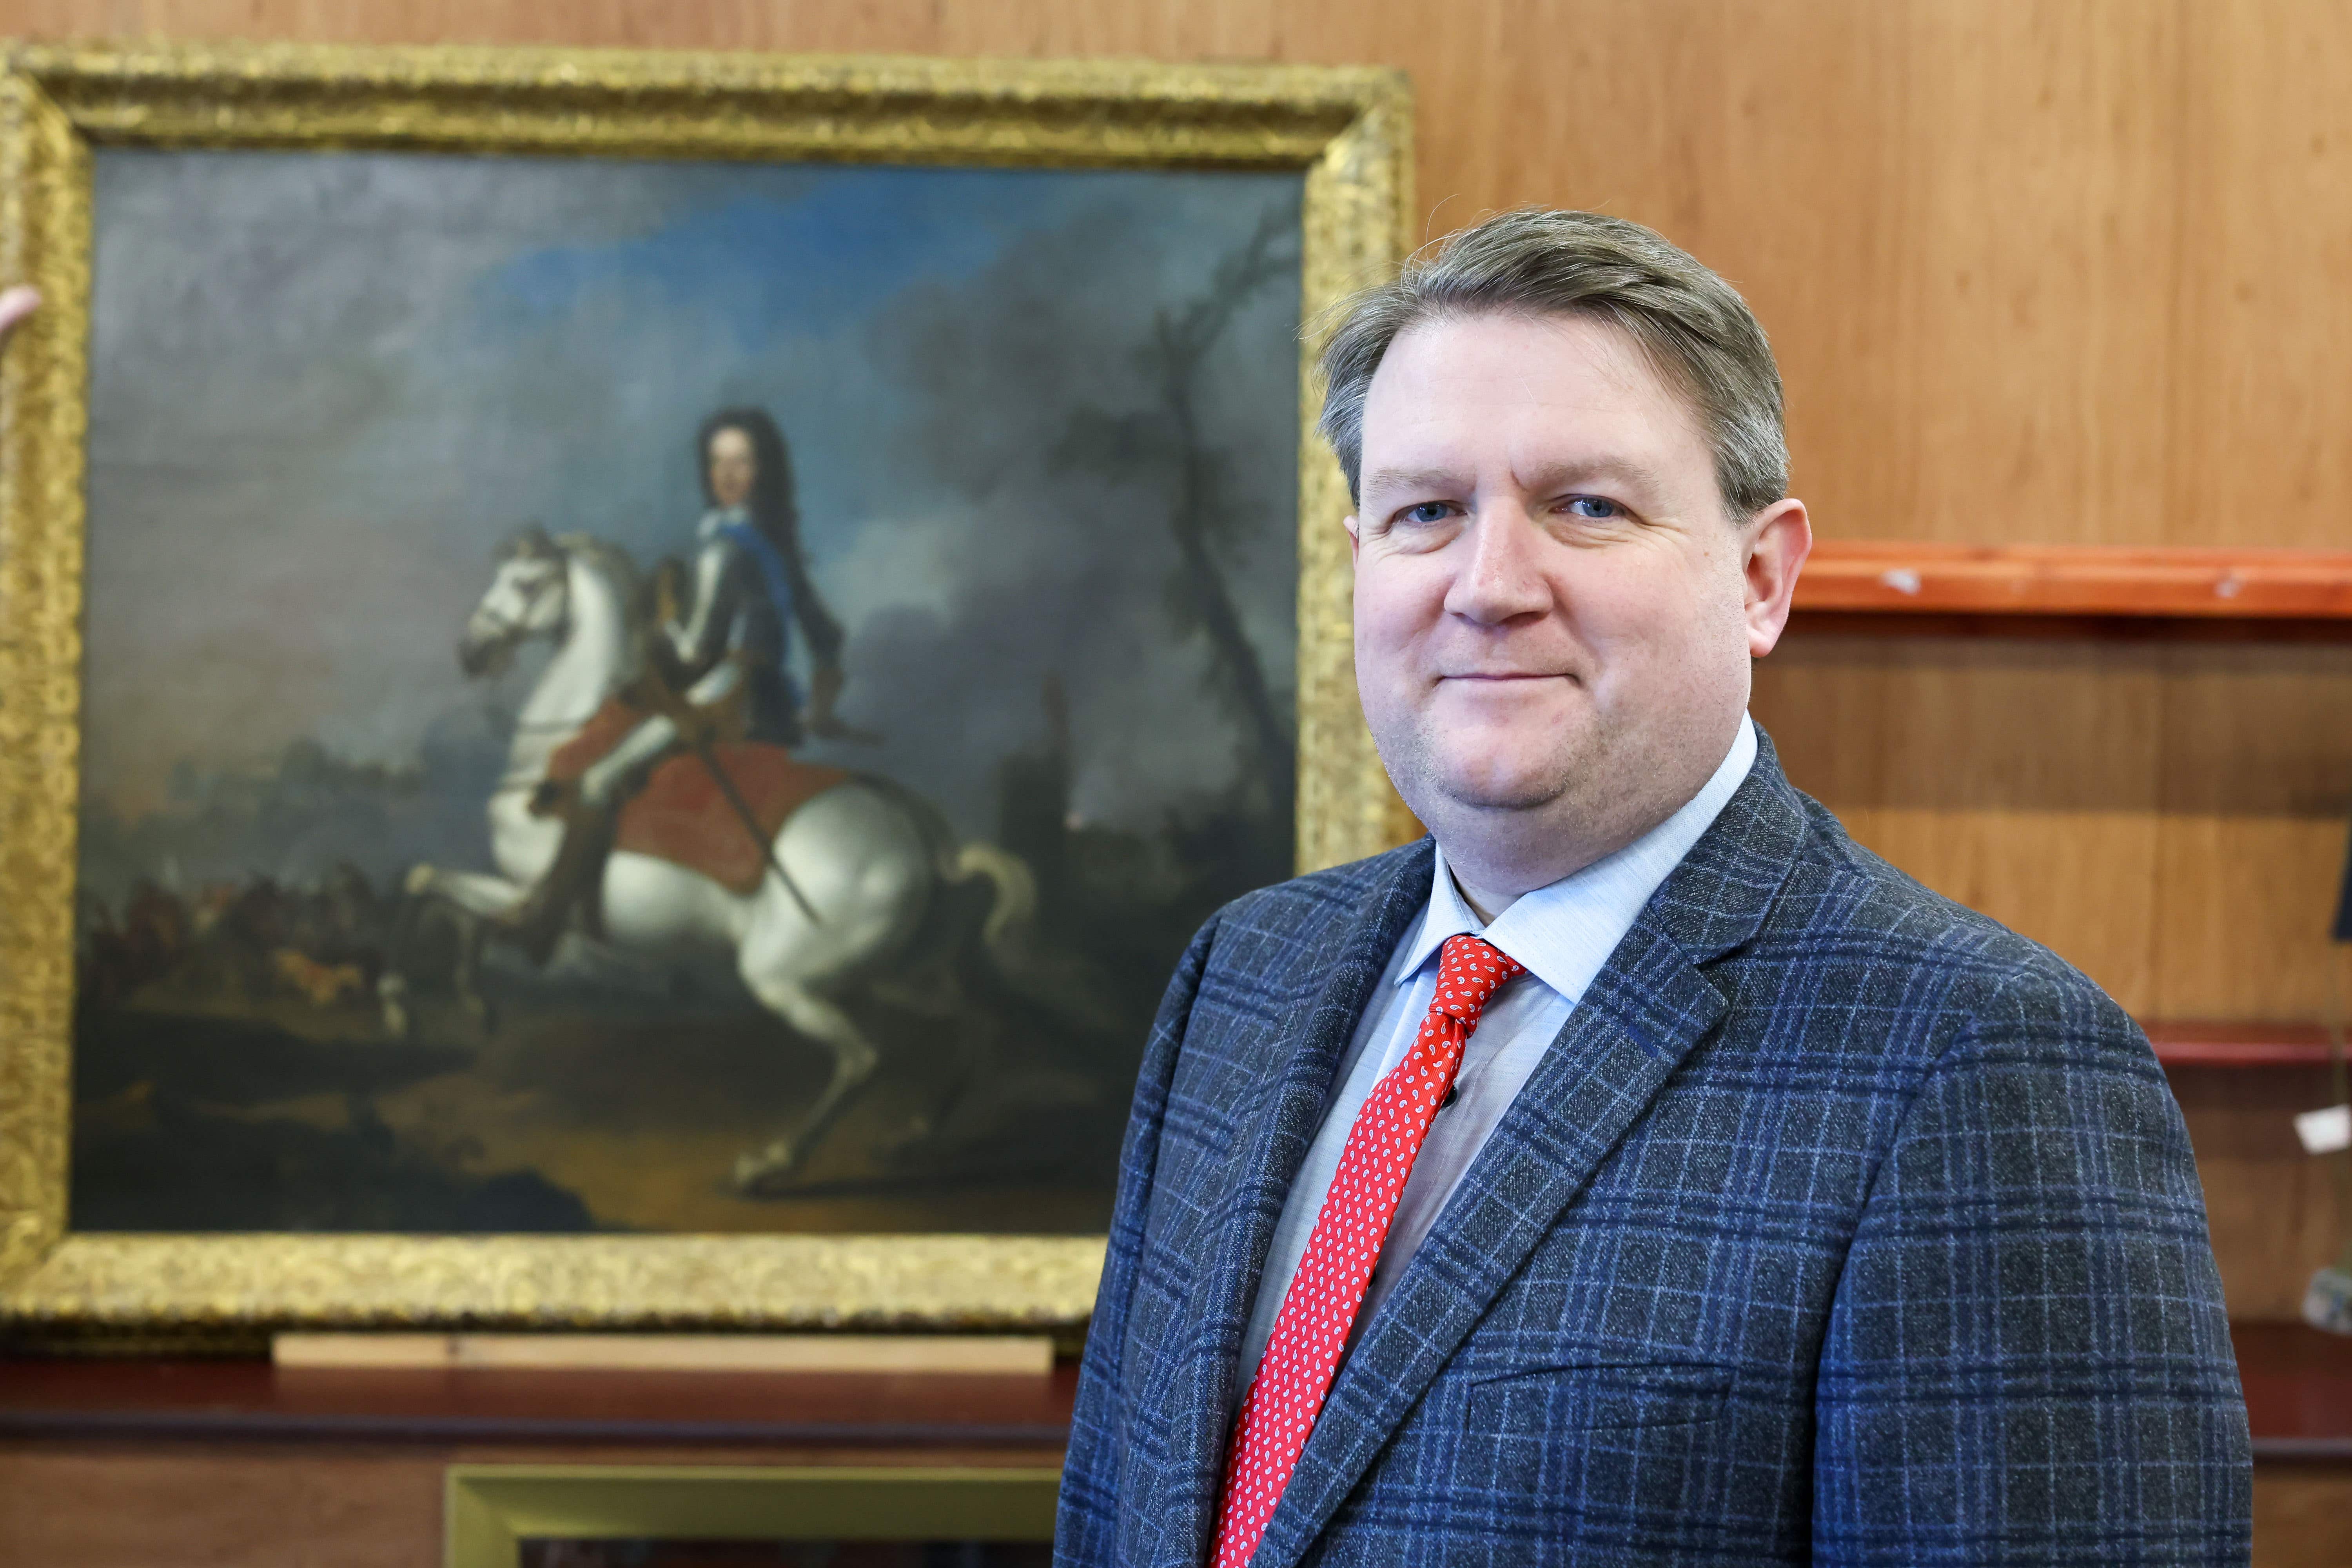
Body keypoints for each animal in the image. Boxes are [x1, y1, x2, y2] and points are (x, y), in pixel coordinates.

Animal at [386, 526, 1030, 1189]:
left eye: (527, 583)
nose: (471, 651)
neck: (560, 752)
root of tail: (920, 834)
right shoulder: (517, 893)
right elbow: (440, 894)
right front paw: (474, 1003)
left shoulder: (533, 894)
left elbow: (429, 886)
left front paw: (399, 1004)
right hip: (890, 974)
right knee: (978, 1023)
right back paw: (913, 1135)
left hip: (787, 979)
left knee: (863, 1058)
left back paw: (770, 1163)